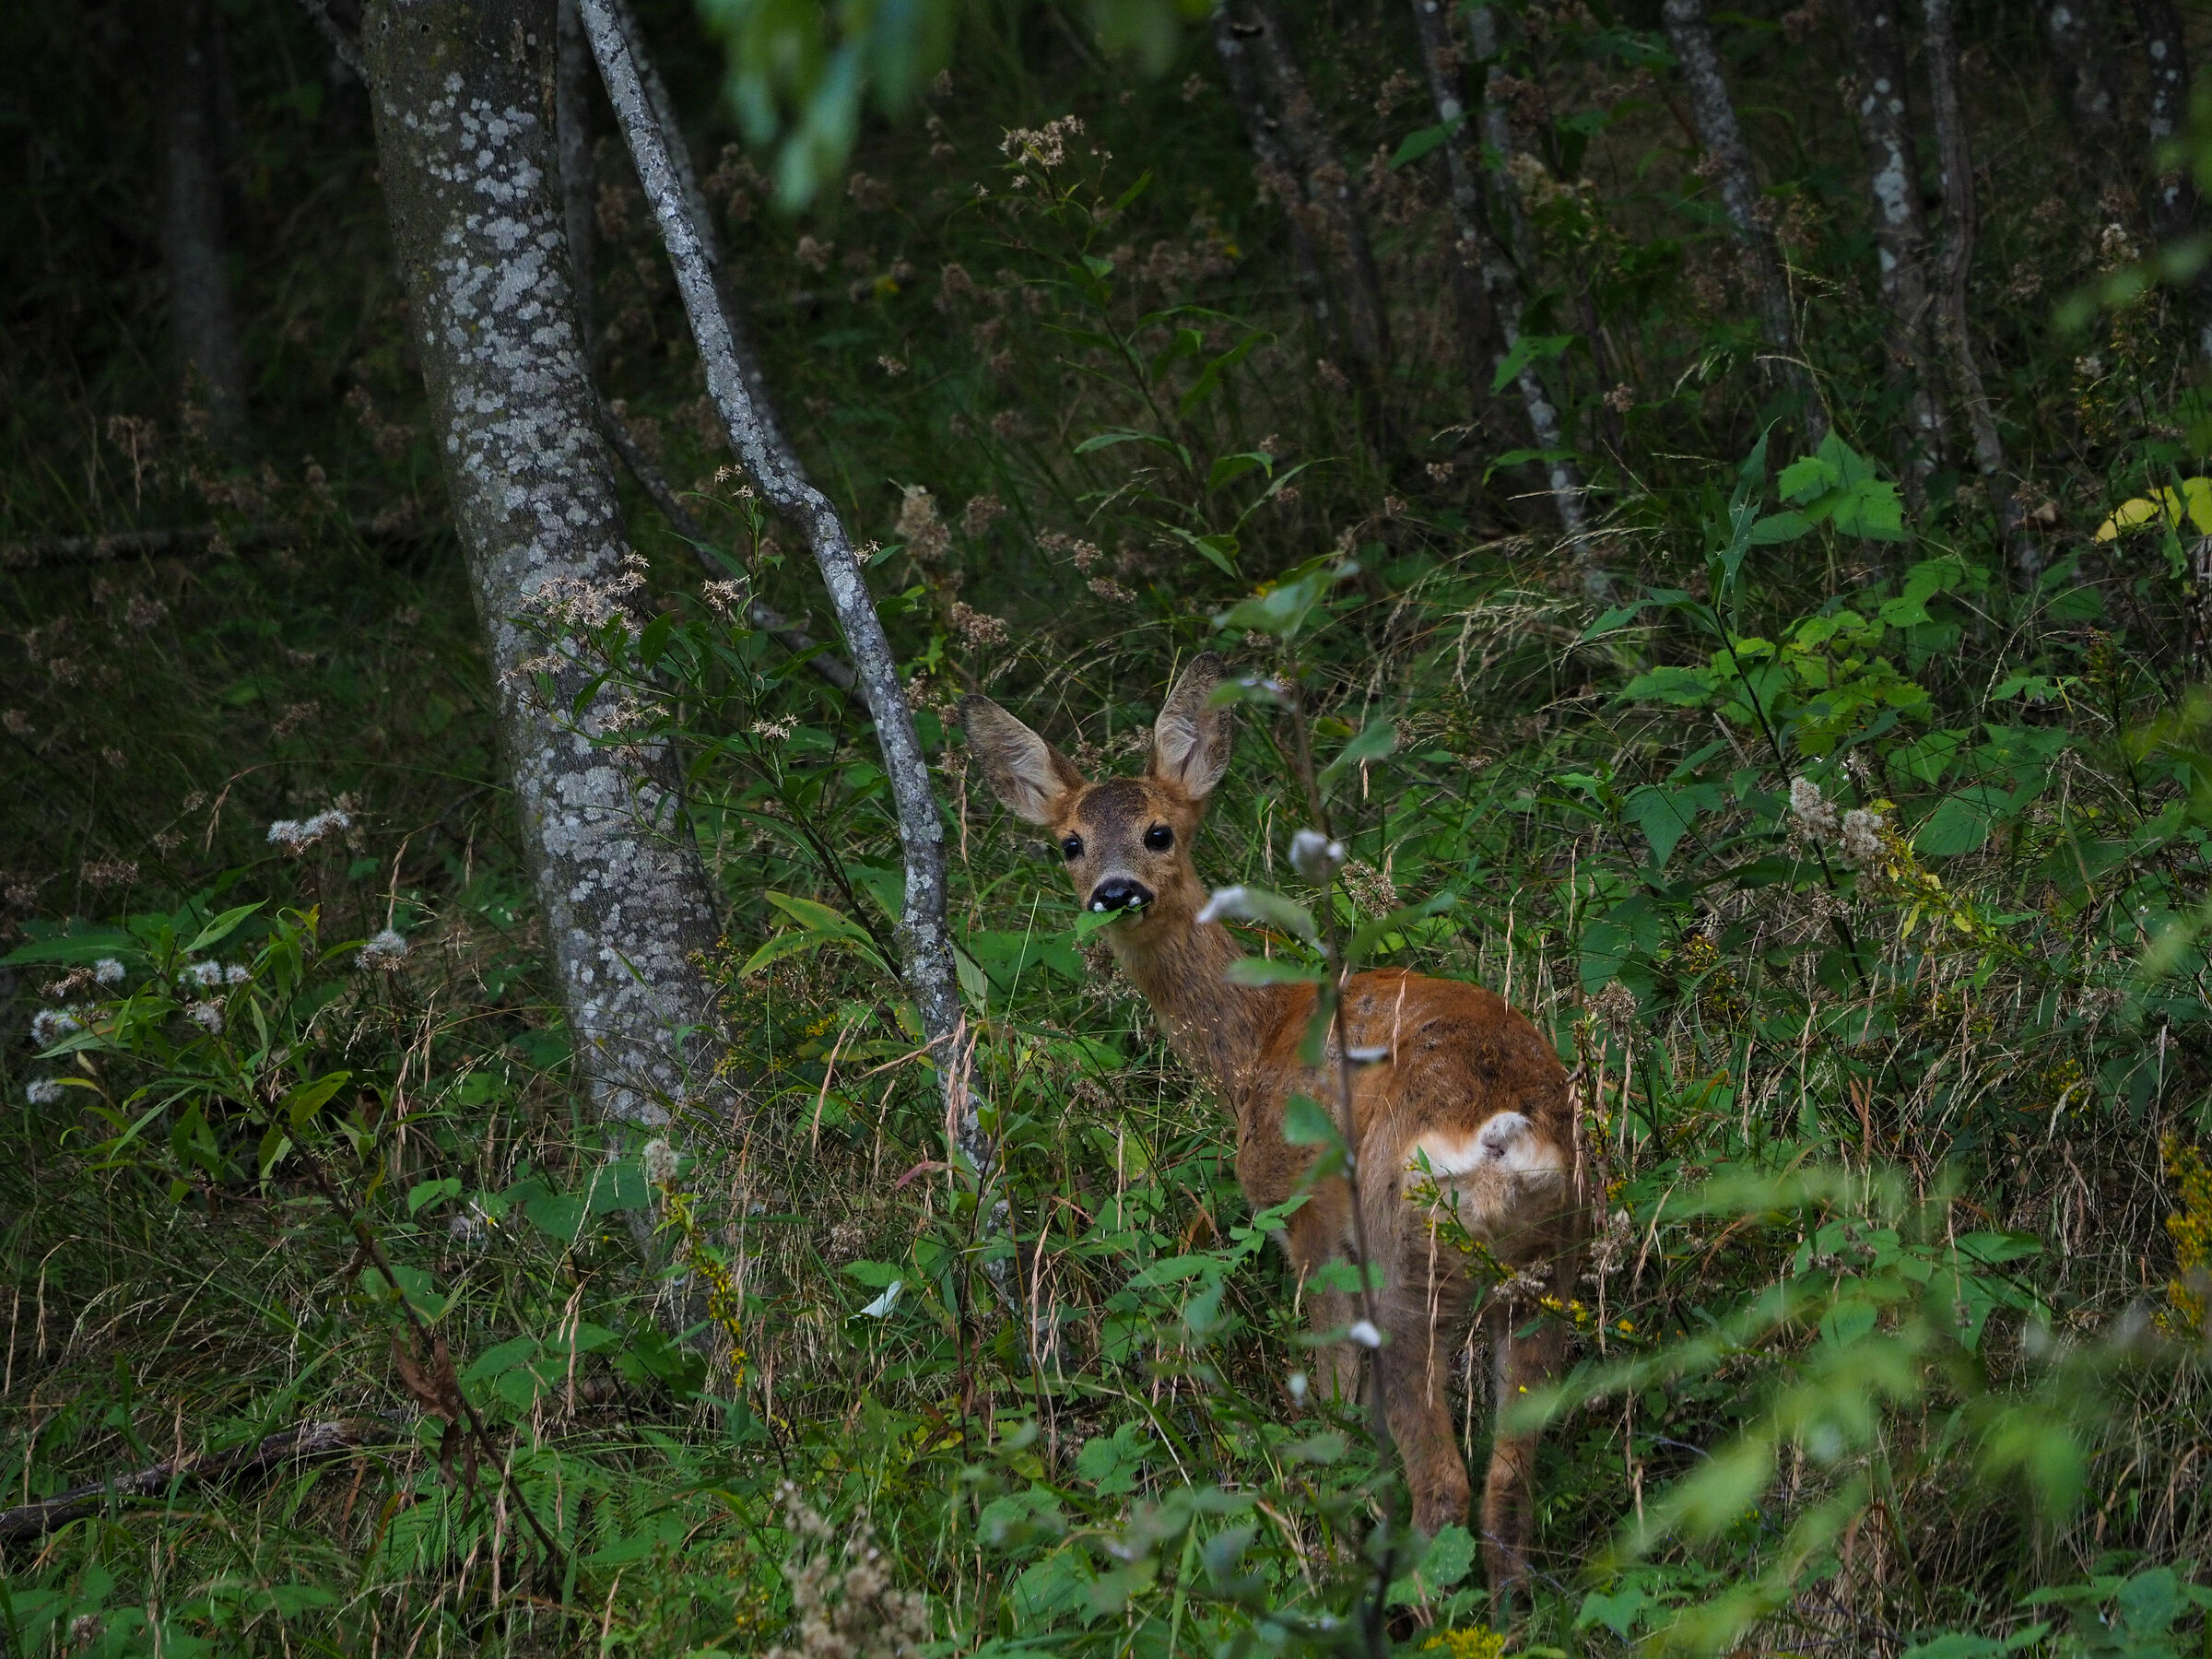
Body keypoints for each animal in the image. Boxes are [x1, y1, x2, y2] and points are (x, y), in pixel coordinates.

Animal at [960, 651, 1585, 1594]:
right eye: (1069, 842)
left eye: (1159, 832)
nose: (1115, 892)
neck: (1255, 1041)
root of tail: (1504, 1141)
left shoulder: (1306, 1217)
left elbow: (1331, 1401)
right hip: (1552, 1270)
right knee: (1510, 1490)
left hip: (1405, 1258)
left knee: (1443, 1483)